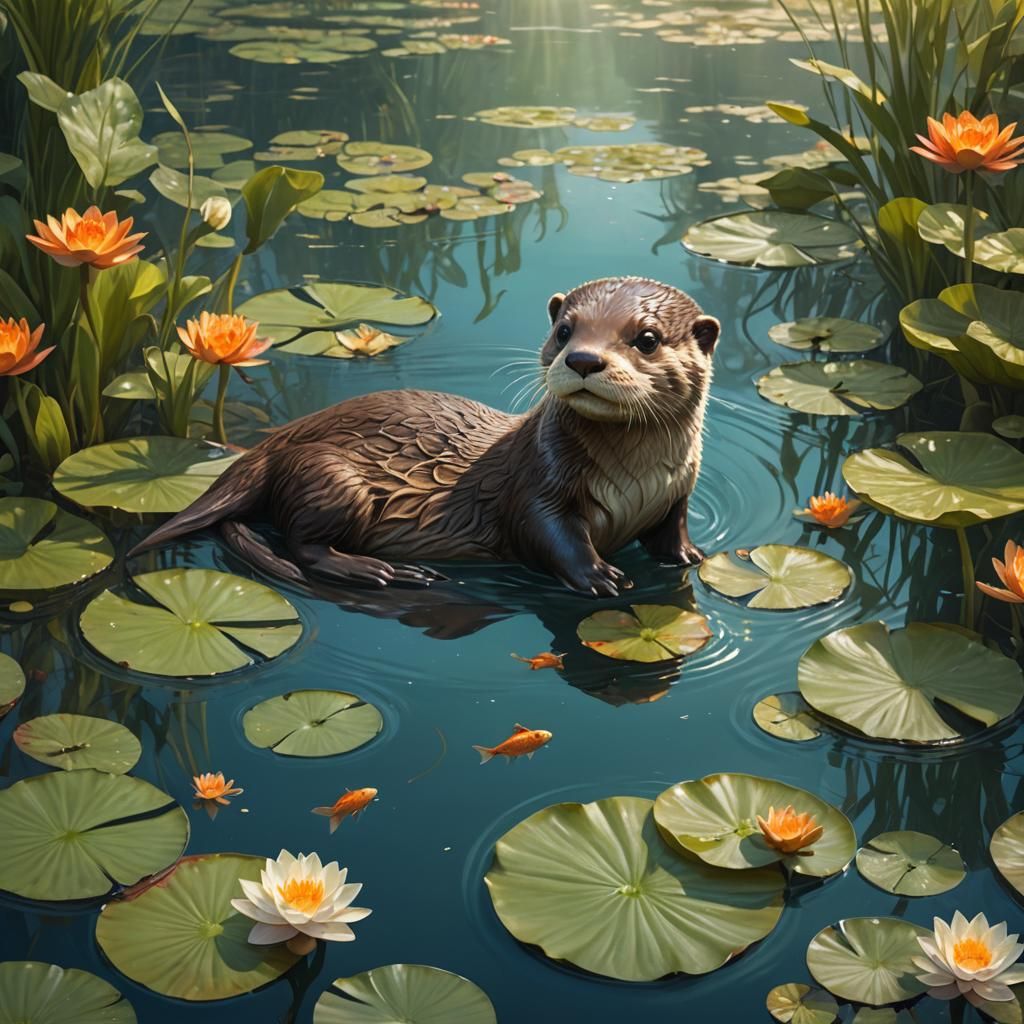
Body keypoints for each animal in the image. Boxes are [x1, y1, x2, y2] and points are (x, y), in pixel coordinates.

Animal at [130, 277, 719, 597]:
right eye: (564, 330)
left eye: (647, 338)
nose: (583, 359)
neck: (637, 478)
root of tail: (268, 447)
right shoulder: (538, 485)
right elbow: (551, 535)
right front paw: (598, 575)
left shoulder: (679, 489)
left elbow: (671, 528)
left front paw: (690, 555)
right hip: (332, 477)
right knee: (303, 544)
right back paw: (381, 570)